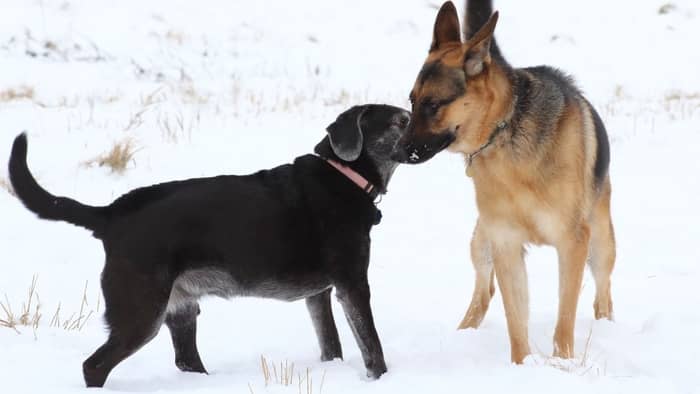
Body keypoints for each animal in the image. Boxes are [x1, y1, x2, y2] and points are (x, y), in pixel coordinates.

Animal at [6, 103, 410, 386]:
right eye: (399, 122)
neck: (345, 174)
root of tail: (111, 214)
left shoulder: (319, 294)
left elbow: (331, 343)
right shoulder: (352, 283)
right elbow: (371, 345)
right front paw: (381, 379)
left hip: (181, 309)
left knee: (185, 361)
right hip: (141, 311)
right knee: (94, 366)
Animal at [394, 0, 616, 364]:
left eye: (433, 105)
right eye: (412, 102)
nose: (397, 152)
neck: (504, 130)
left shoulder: (573, 241)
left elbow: (564, 317)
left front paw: (562, 363)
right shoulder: (505, 243)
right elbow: (516, 321)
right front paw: (523, 367)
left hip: (600, 244)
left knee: (603, 293)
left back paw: (605, 325)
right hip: (481, 241)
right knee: (484, 290)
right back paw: (463, 333)